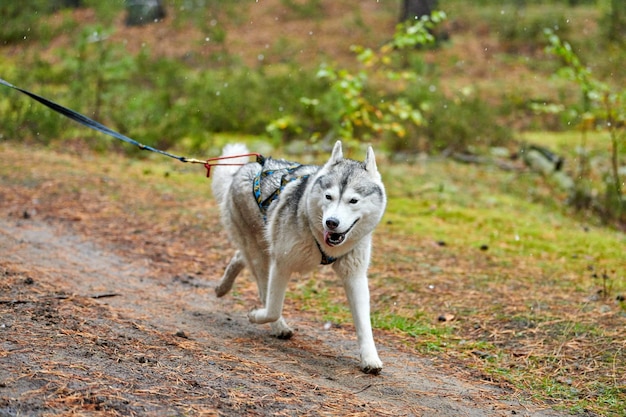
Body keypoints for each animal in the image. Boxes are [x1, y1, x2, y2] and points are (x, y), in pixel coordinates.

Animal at [212, 141, 382, 374]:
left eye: (353, 200)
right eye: (328, 196)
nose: (331, 222)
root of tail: (242, 170)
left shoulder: (354, 276)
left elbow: (364, 324)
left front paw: (370, 358)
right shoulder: (281, 264)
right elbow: (273, 308)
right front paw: (257, 316)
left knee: (240, 257)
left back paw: (223, 287)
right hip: (261, 255)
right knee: (260, 284)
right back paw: (276, 325)